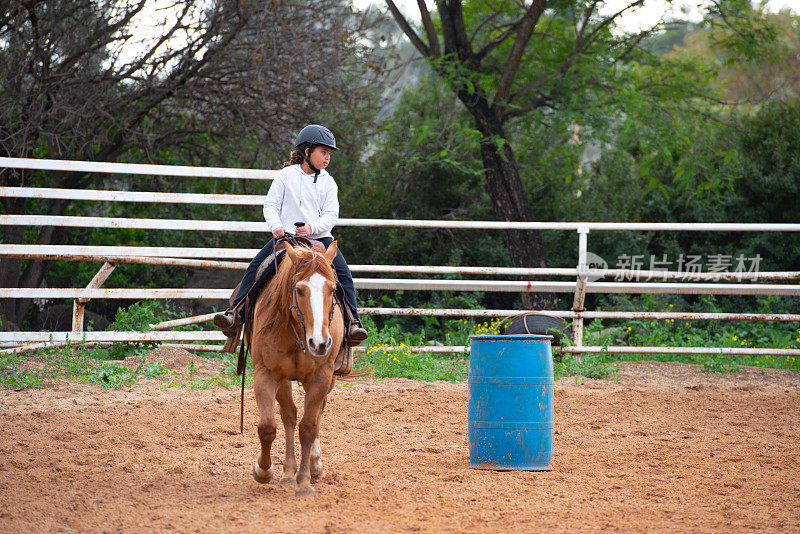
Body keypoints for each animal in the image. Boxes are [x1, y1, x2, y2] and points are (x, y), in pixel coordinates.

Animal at [250, 242, 344, 498]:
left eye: (333, 289)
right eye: (299, 290)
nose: (320, 343)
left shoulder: (322, 376)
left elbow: (309, 427)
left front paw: (304, 482)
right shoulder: (266, 373)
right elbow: (268, 427)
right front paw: (263, 471)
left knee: (316, 413)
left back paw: (313, 463)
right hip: (283, 380)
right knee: (289, 415)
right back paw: (287, 472)